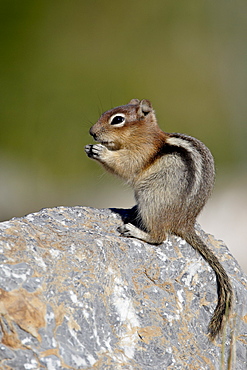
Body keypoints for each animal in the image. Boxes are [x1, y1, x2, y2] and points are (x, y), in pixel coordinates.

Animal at [85, 97, 232, 338]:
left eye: (117, 120)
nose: (92, 133)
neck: (144, 135)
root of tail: (185, 223)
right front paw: (90, 148)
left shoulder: (140, 153)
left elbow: (125, 165)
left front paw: (101, 151)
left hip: (151, 199)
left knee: (159, 237)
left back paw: (133, 230)